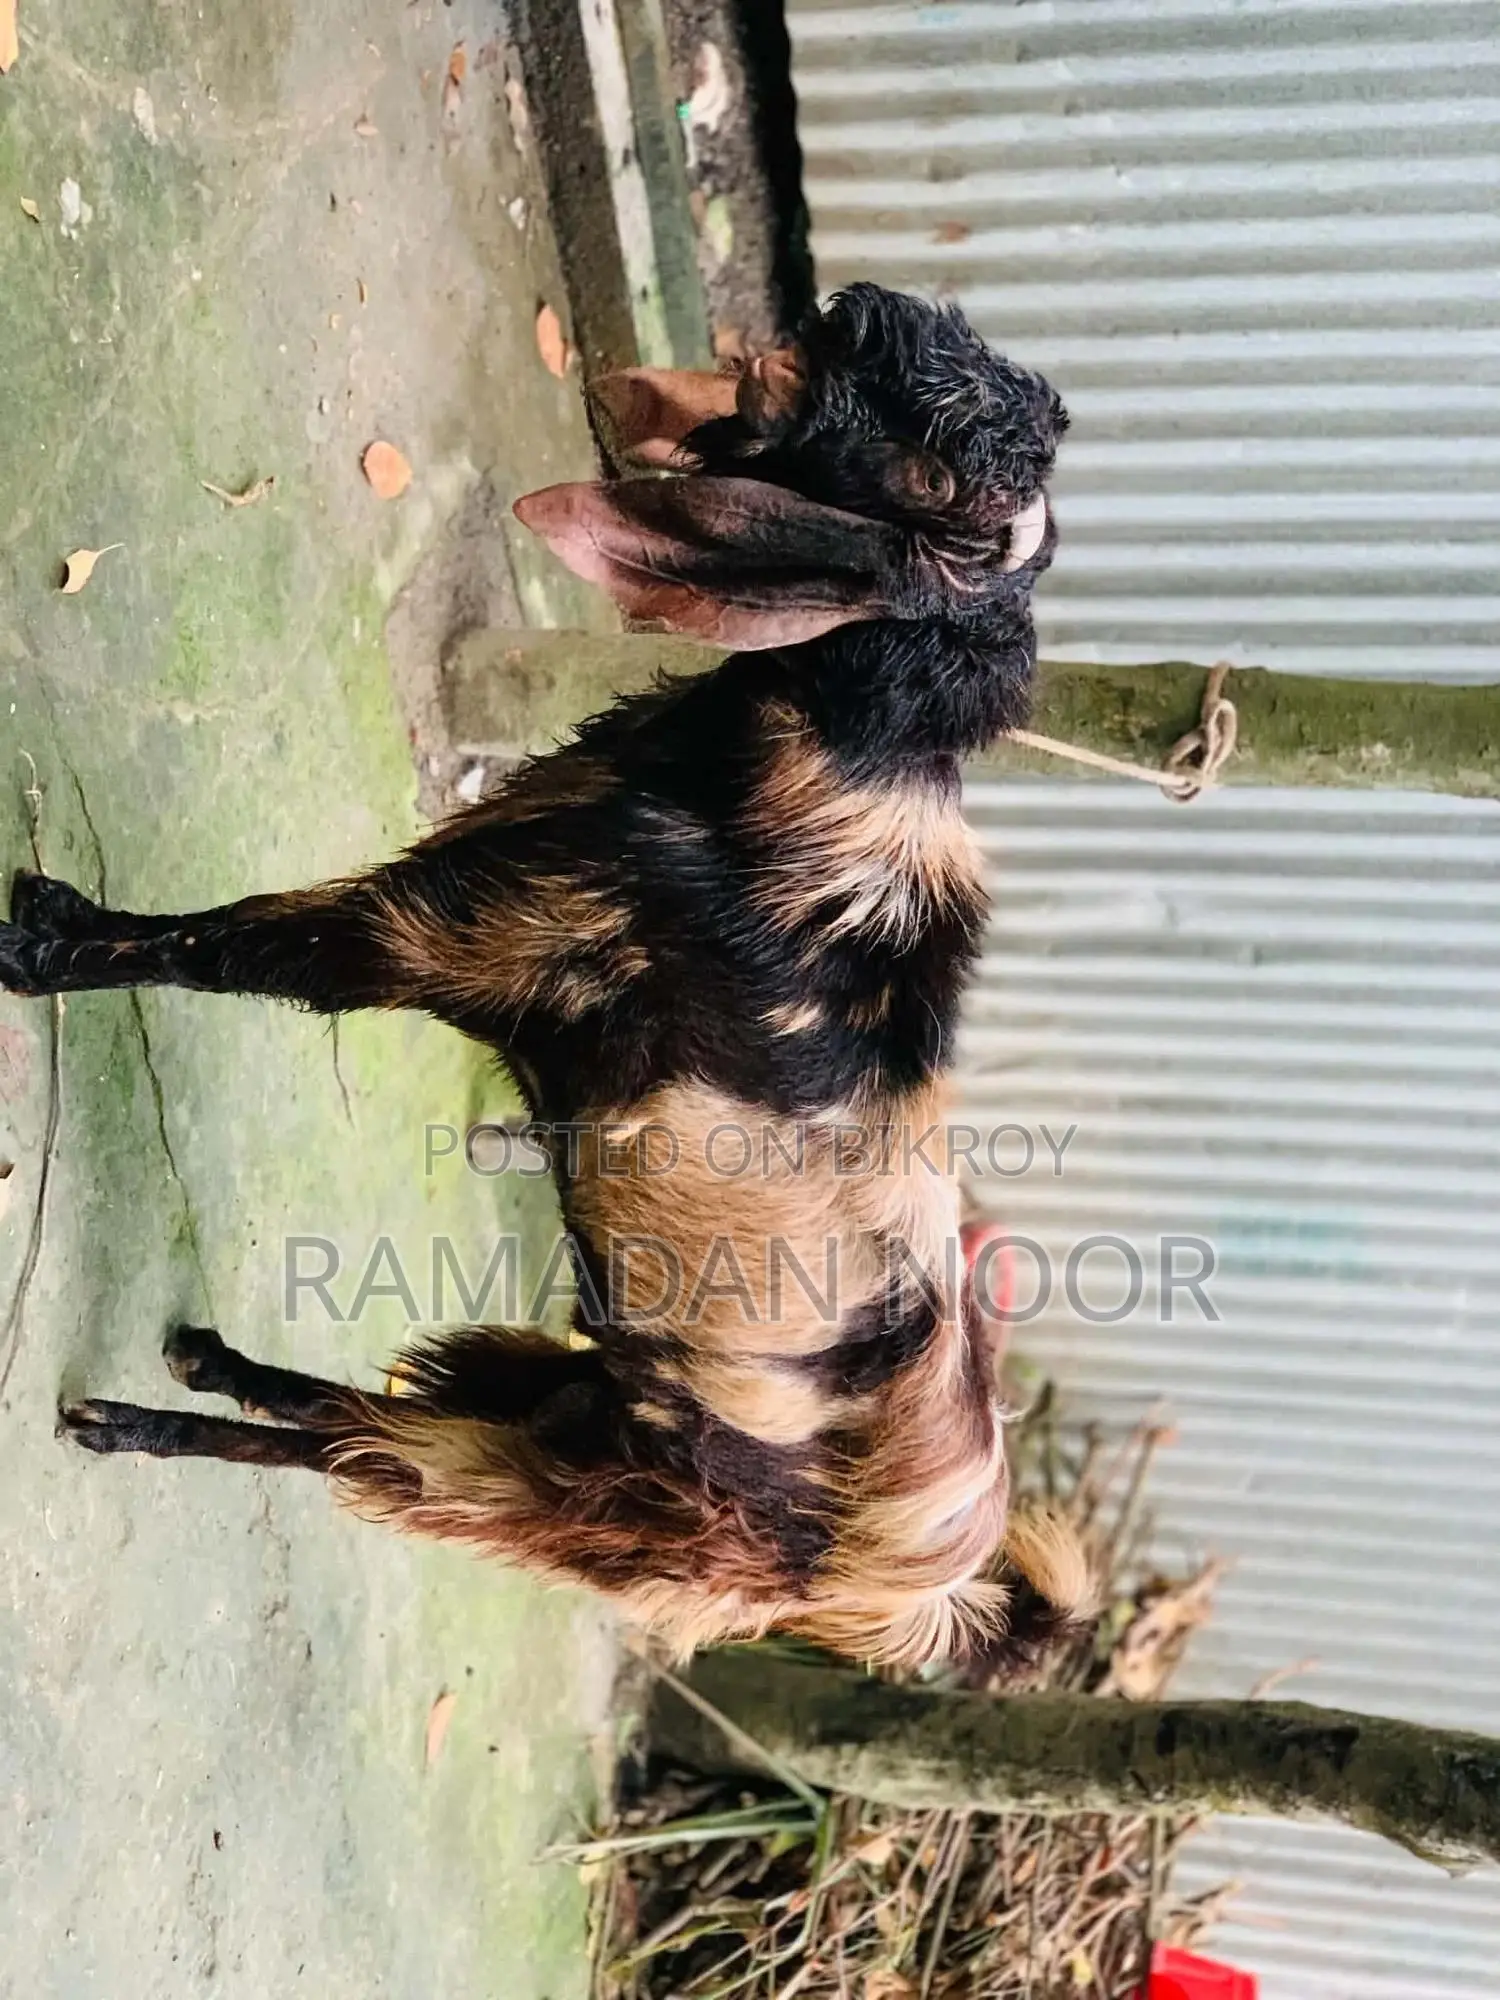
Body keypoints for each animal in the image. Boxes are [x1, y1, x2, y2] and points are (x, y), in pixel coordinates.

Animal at [2, 284, 1093, 1671]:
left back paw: (134, 1418)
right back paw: (209, 1364)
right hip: (562, 1392)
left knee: (362, 1454)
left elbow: (230, 941)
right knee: (371, 1412)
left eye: (935, 472)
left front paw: (33, 945)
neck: (837, 751)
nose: (862, 302)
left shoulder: (466, 929)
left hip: (585, 1498)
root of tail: (911, 1594)